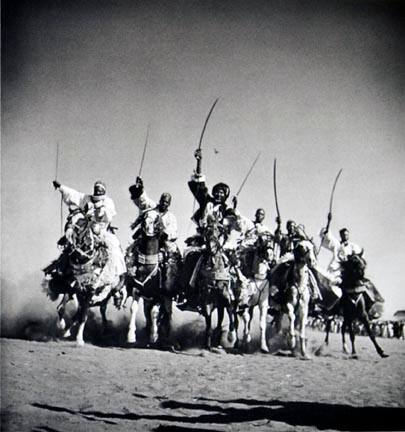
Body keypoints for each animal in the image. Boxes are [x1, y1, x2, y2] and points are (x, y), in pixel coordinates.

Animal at [124, 208, 179, 346]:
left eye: (157, 219)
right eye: (144, 216)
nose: (148, 227)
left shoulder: (158, 295)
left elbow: (154, 313)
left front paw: (154, 336)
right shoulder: (137, 290)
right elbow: (134, 308)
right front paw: (131, 336)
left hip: (166, 298)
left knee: (167, 314)